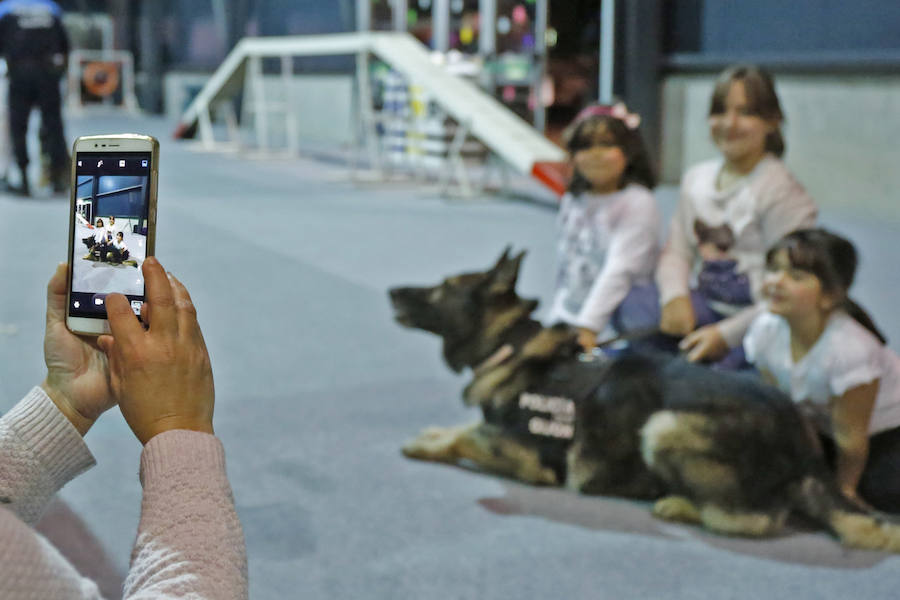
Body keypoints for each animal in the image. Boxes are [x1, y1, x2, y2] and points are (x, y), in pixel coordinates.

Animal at [390, 250, 900, 552]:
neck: (510, 345)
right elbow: (462, 429)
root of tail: (807, 450)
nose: (392, 291)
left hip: (664, 424)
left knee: (751, 519)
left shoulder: (527, 458)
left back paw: (680, 505)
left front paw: (426, 446)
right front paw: (432, 433)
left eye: (441, 289)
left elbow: (465, 439)